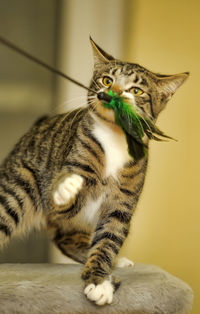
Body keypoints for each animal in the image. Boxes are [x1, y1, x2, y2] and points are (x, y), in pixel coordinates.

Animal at [0, 38, 188, 306]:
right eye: (107, 80)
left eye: (136, 91)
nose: (110, 94)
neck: (115, 139)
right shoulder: (60, 194)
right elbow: (63, 196)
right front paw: (67, 187)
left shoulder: (121, 205)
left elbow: (107, 242)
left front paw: (99, 280)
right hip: (19, 189)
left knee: (67, 240)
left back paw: (114, 261)